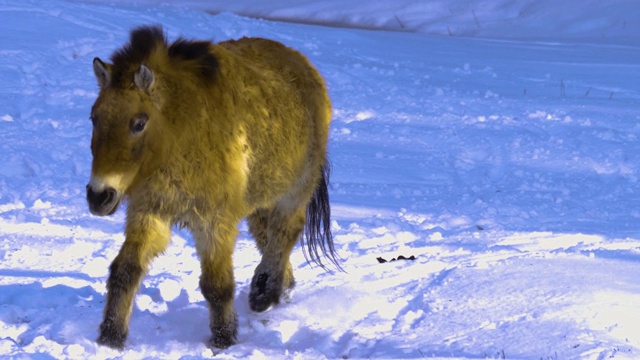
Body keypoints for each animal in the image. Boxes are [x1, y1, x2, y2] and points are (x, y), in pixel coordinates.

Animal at [86, 26, 340, 352]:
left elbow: (216, 284)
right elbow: (125, 271)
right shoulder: (150, 212)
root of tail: (303, 65)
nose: (98, 196)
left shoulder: (214, 221)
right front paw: (111, 336)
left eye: (139, 123)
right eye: (94, 117)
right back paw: (278, 286)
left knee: (287, 230)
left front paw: (223, 338)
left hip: (296, 190)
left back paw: (264, 292)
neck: (179, 135)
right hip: (259, 198)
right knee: (267, 235)